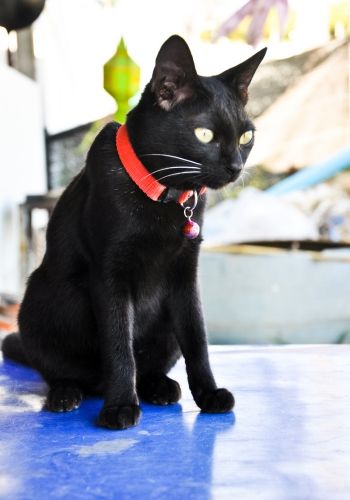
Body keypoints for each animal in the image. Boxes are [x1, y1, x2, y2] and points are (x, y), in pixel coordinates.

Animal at [2, 35, 266, 430]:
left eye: (246, 135)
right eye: (204, 134)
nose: (236, 166)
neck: (165, 197)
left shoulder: (186, 276)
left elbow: (197, 340)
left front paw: (207, 393)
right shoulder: (109, 275)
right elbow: (118, 344)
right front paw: (120, 406)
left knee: (153, 363)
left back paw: (159, 386)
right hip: (39, 300)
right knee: (56, 369)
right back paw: (67, 394)